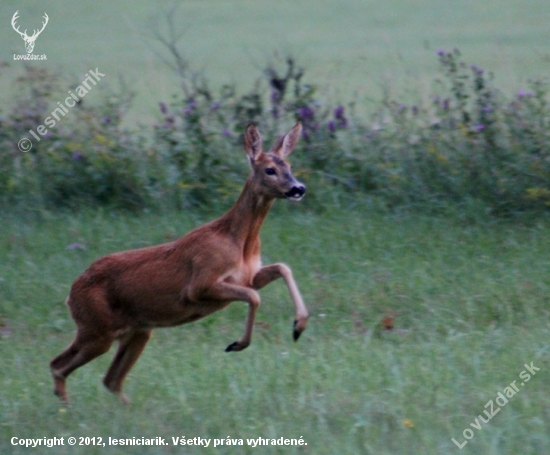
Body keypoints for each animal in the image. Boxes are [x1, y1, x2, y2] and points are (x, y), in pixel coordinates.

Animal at [50, 121, 310, 402]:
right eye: (270, 170)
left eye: (290, 166)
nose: (298, 188)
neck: (241, 243)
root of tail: (71, 294)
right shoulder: (200, 283)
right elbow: (254, 296)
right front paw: (237, 344)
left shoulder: (248, 276)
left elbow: (282, 268)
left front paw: (299, 326)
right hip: (96, 328)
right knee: (58, 365)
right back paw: (66, 407)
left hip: (138, 330)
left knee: (111, 379)